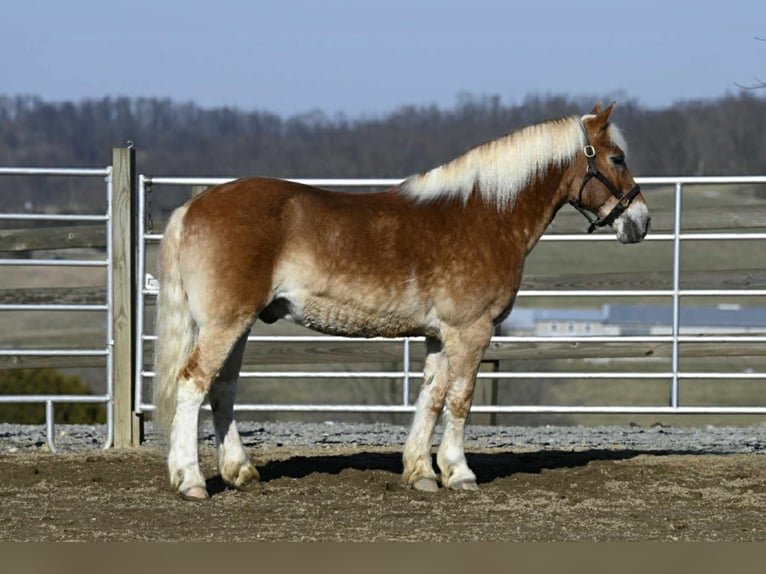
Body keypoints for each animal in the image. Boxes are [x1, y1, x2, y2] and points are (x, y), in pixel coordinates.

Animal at [153, 102, 652, 500]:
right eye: (617, 157)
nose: (641, 221)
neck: (485, 215)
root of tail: (192, 208)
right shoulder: (471, 330)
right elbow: (460, 400)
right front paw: (460, 473)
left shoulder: (439, 336)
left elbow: (430, 398)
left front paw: (422, 473)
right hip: (225, 324)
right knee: (192, 384)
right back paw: (191, 481)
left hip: (237, 325)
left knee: (222, 389)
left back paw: (239, 472)